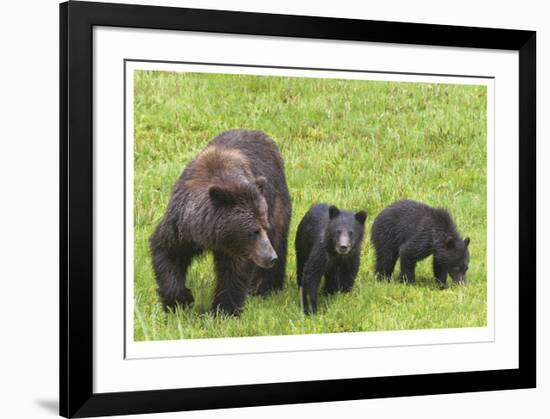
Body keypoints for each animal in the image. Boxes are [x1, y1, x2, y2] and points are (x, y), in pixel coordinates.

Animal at [147, 130, 294, 316]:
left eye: (263, 227)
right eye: (254, 230)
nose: (270, 257)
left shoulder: (238, 247)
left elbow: (233, 272)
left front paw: (223, 311)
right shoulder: (180, 225)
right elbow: (166, 251)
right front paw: (180, 300)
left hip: (277, 201)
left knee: (279, 239)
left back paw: (265, 287)